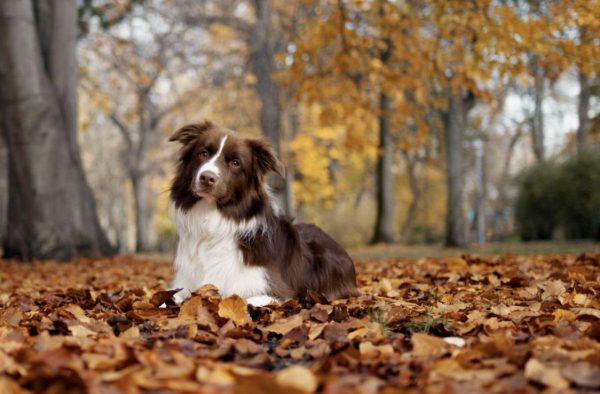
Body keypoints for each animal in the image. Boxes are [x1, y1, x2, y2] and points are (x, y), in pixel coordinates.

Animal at [166, 121, 358, 306]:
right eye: (203, 153)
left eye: (235, 163)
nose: (207, 177)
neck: (212, 222)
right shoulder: (184, 283)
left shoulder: (277, 291)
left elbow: (244, 299)